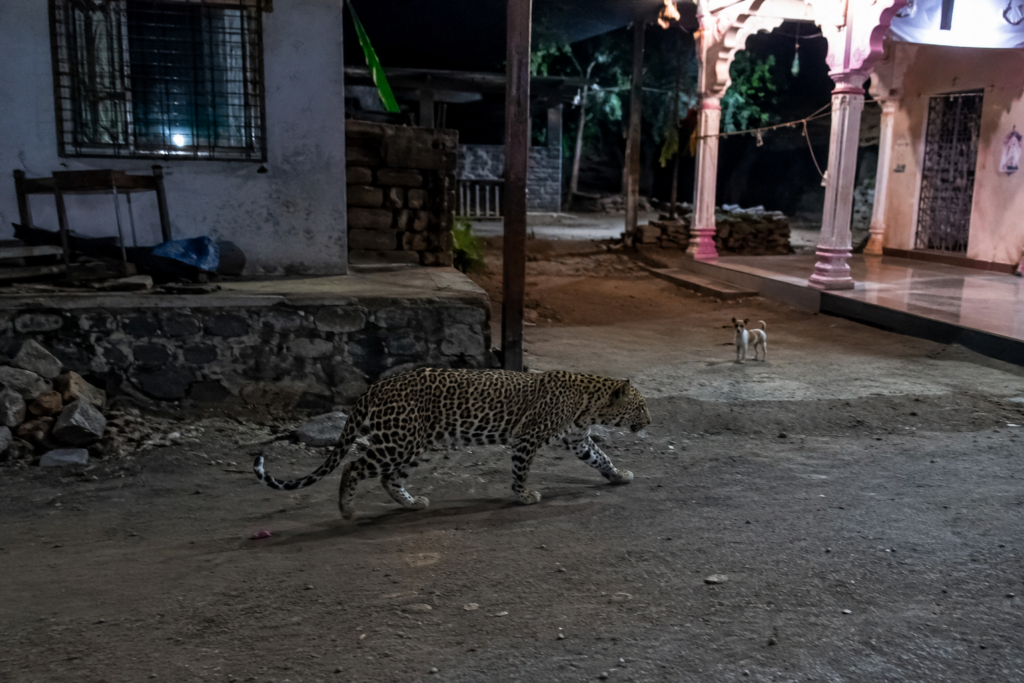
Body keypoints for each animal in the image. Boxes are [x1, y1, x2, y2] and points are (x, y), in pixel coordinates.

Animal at [253, 367, 651, 518]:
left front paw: (619, 476)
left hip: (415, 445)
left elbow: (601, 457)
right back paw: (348, 509)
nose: (650, 422)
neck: (590, 404)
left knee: (388, 478)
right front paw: (523, 496)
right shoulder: (526, 439)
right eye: (642, 405)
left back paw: (412, 503)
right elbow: (520, 472)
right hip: (399, 442)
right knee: (354, 466)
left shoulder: (578, 441)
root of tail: (376, 386)